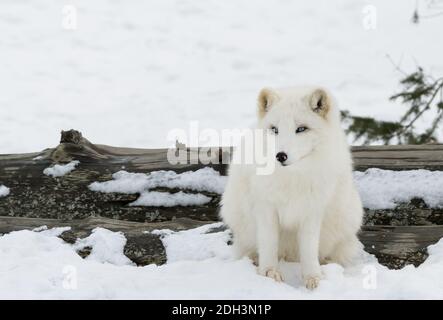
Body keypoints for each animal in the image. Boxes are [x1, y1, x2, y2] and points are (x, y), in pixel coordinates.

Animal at [221, 86, 364, 288]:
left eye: (301, 129)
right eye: (274, 129)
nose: (280, 155)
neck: (291, 178)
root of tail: (290, 256)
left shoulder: (312, 210)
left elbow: (309, 249)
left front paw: (313, 277)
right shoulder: (265, 208)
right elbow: (268, 244)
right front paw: (268, 273)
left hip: (349, 218)